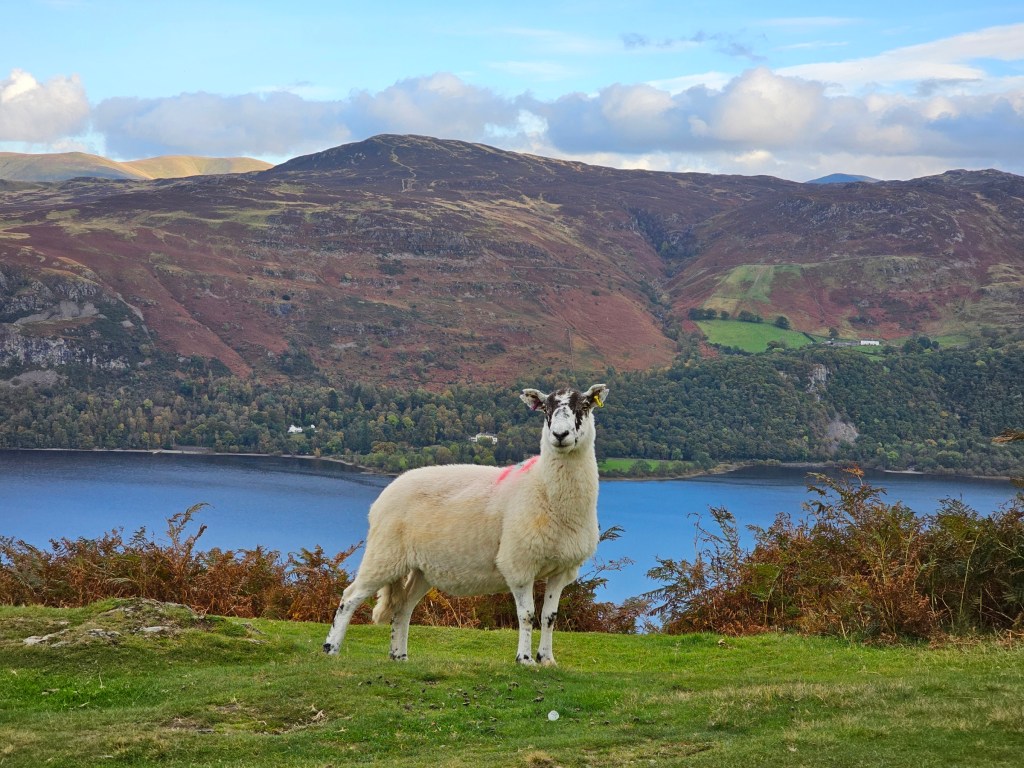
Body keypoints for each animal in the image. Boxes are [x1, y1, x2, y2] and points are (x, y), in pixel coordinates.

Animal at [322, 383, 610, 665]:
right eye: (545, 409)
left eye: (584, 406)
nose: (560, 435)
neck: (542, 487)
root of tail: (384, 495)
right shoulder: (518, 564)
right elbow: (527, 615)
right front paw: (525, 660)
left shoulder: (562, 569)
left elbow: (549, 617)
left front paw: (548, 660)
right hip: (384, 553)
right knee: (350, 597)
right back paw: (331, 649)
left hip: (421, 568)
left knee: (403, 606)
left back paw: (399, 656)